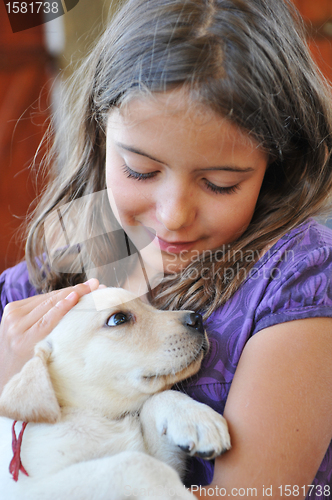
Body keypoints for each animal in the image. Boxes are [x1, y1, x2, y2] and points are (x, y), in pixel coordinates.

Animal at [0, 288, 230, 500]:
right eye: (118, 319)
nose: (197, 319)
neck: (101, 416)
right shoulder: (31, 490)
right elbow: (135, 463)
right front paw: (175, 494)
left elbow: (156, 399)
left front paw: (195, 418)